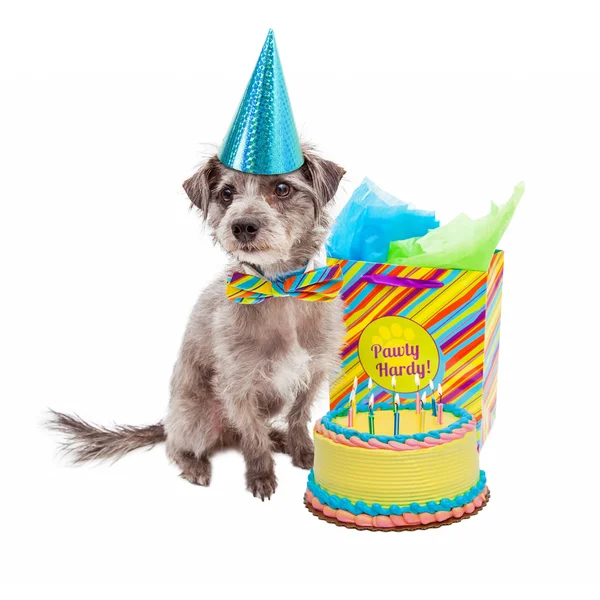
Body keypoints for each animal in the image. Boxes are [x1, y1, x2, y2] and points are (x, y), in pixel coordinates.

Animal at [48, 143, 346, 500]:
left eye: (283, 189)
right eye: (227, 193)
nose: (243, 226)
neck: (278, 290)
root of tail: (169, 422)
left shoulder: (313, 371)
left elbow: (298, 415)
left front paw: (302, 450)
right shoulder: (239, 386)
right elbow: (253, 437)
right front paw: (261, 474)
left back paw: (278, 437)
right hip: (199, 417)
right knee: (179, 446)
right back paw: (196, 465)